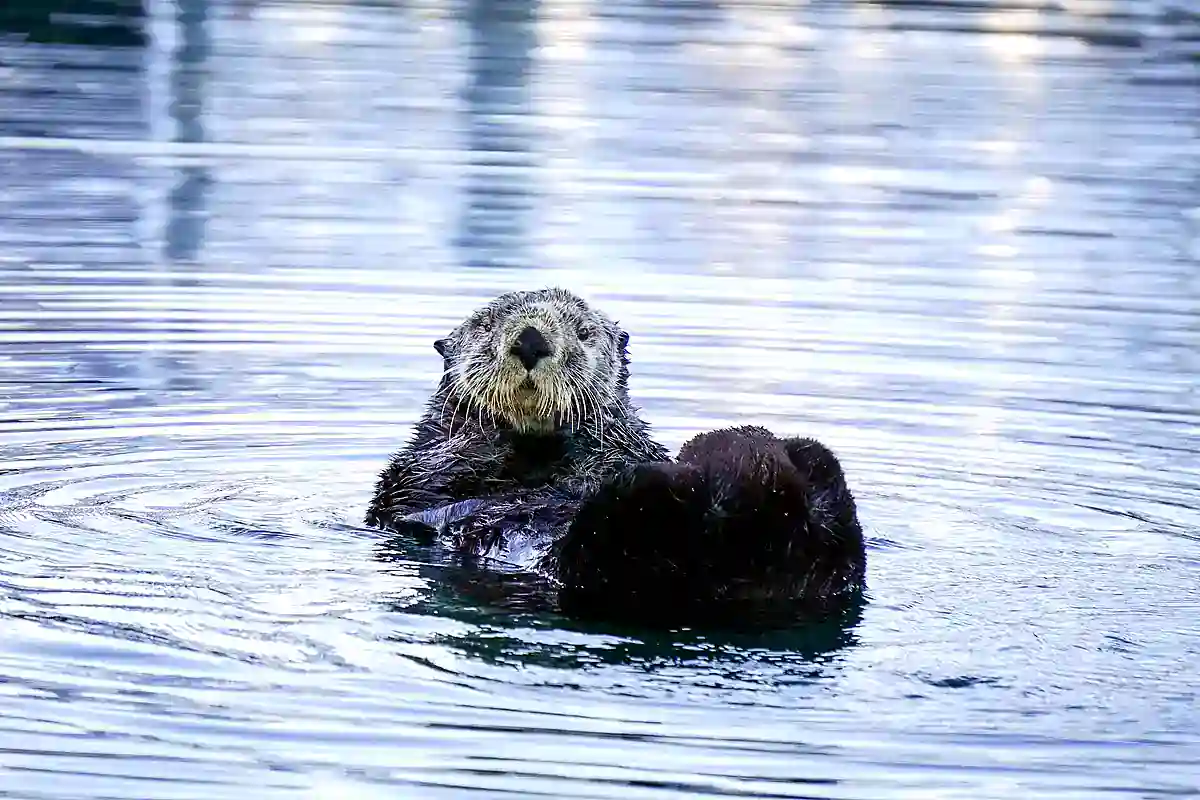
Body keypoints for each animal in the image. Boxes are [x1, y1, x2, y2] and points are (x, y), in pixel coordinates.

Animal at [366, 288, 865, 623]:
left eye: (584, 333)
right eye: (487, 325)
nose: (530, 340)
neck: (537, 456)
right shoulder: (417, 473)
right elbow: (426, 483)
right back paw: (725, 457)